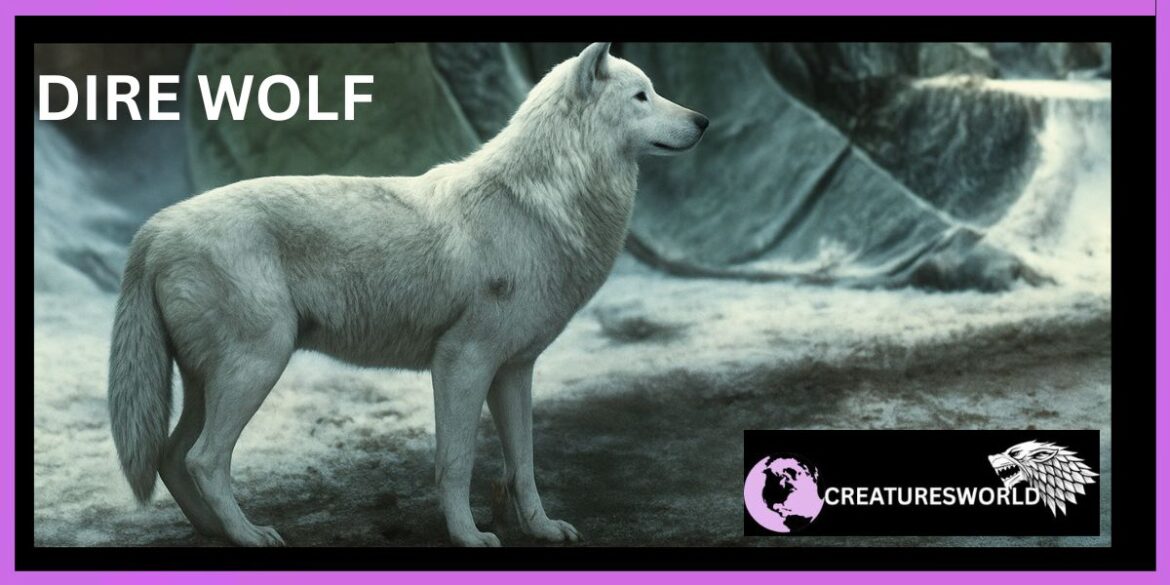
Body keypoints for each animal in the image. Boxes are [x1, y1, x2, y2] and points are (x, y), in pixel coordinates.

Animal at [108, 42, 707, 547]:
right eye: (642, 95)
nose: (703, 120)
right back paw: (250, 536)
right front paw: (469, 537)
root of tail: (155, 227)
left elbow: (524, 465)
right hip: (258, 366)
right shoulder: (462, 362)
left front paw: (541, 529)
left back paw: (215, 531)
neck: (539, 203)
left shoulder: (515, 370)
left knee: (172, 455)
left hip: (212, 381)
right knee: (205, 459)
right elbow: (457, 462)